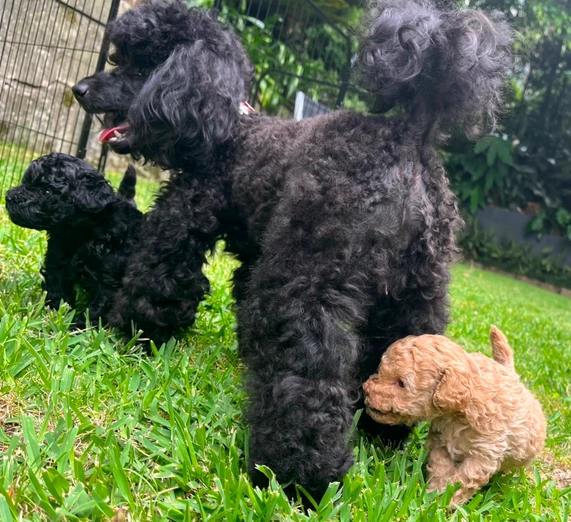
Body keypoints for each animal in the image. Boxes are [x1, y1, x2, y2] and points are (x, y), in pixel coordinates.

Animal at [5, 153, 142, 328]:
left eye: (46, 190)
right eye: (25, 181)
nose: (9, 197)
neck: (78, 235)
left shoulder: (111, 279)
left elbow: (99, 305)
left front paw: (80, 326)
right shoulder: (57, 263)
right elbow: (57, 289)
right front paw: (58, 314)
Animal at [72, 0, 511, 500]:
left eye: (142, 66)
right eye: (117, 57)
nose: (78, 89)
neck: (229, 129)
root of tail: (409, 139)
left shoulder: (186, 216)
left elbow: (159, 277)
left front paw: (130, 333)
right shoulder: (255, 255)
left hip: (311, 269)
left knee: (308, 361)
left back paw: (299, 473)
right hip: (417, 290)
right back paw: (382, 432)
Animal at [363, 327, 546, 507]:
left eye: (401, 383)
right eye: (380, 370)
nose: (366, 389)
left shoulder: (483, 454)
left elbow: (463, 480)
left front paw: (446, 502)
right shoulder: (440, 444)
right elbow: (440, 468)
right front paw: (435, 493)